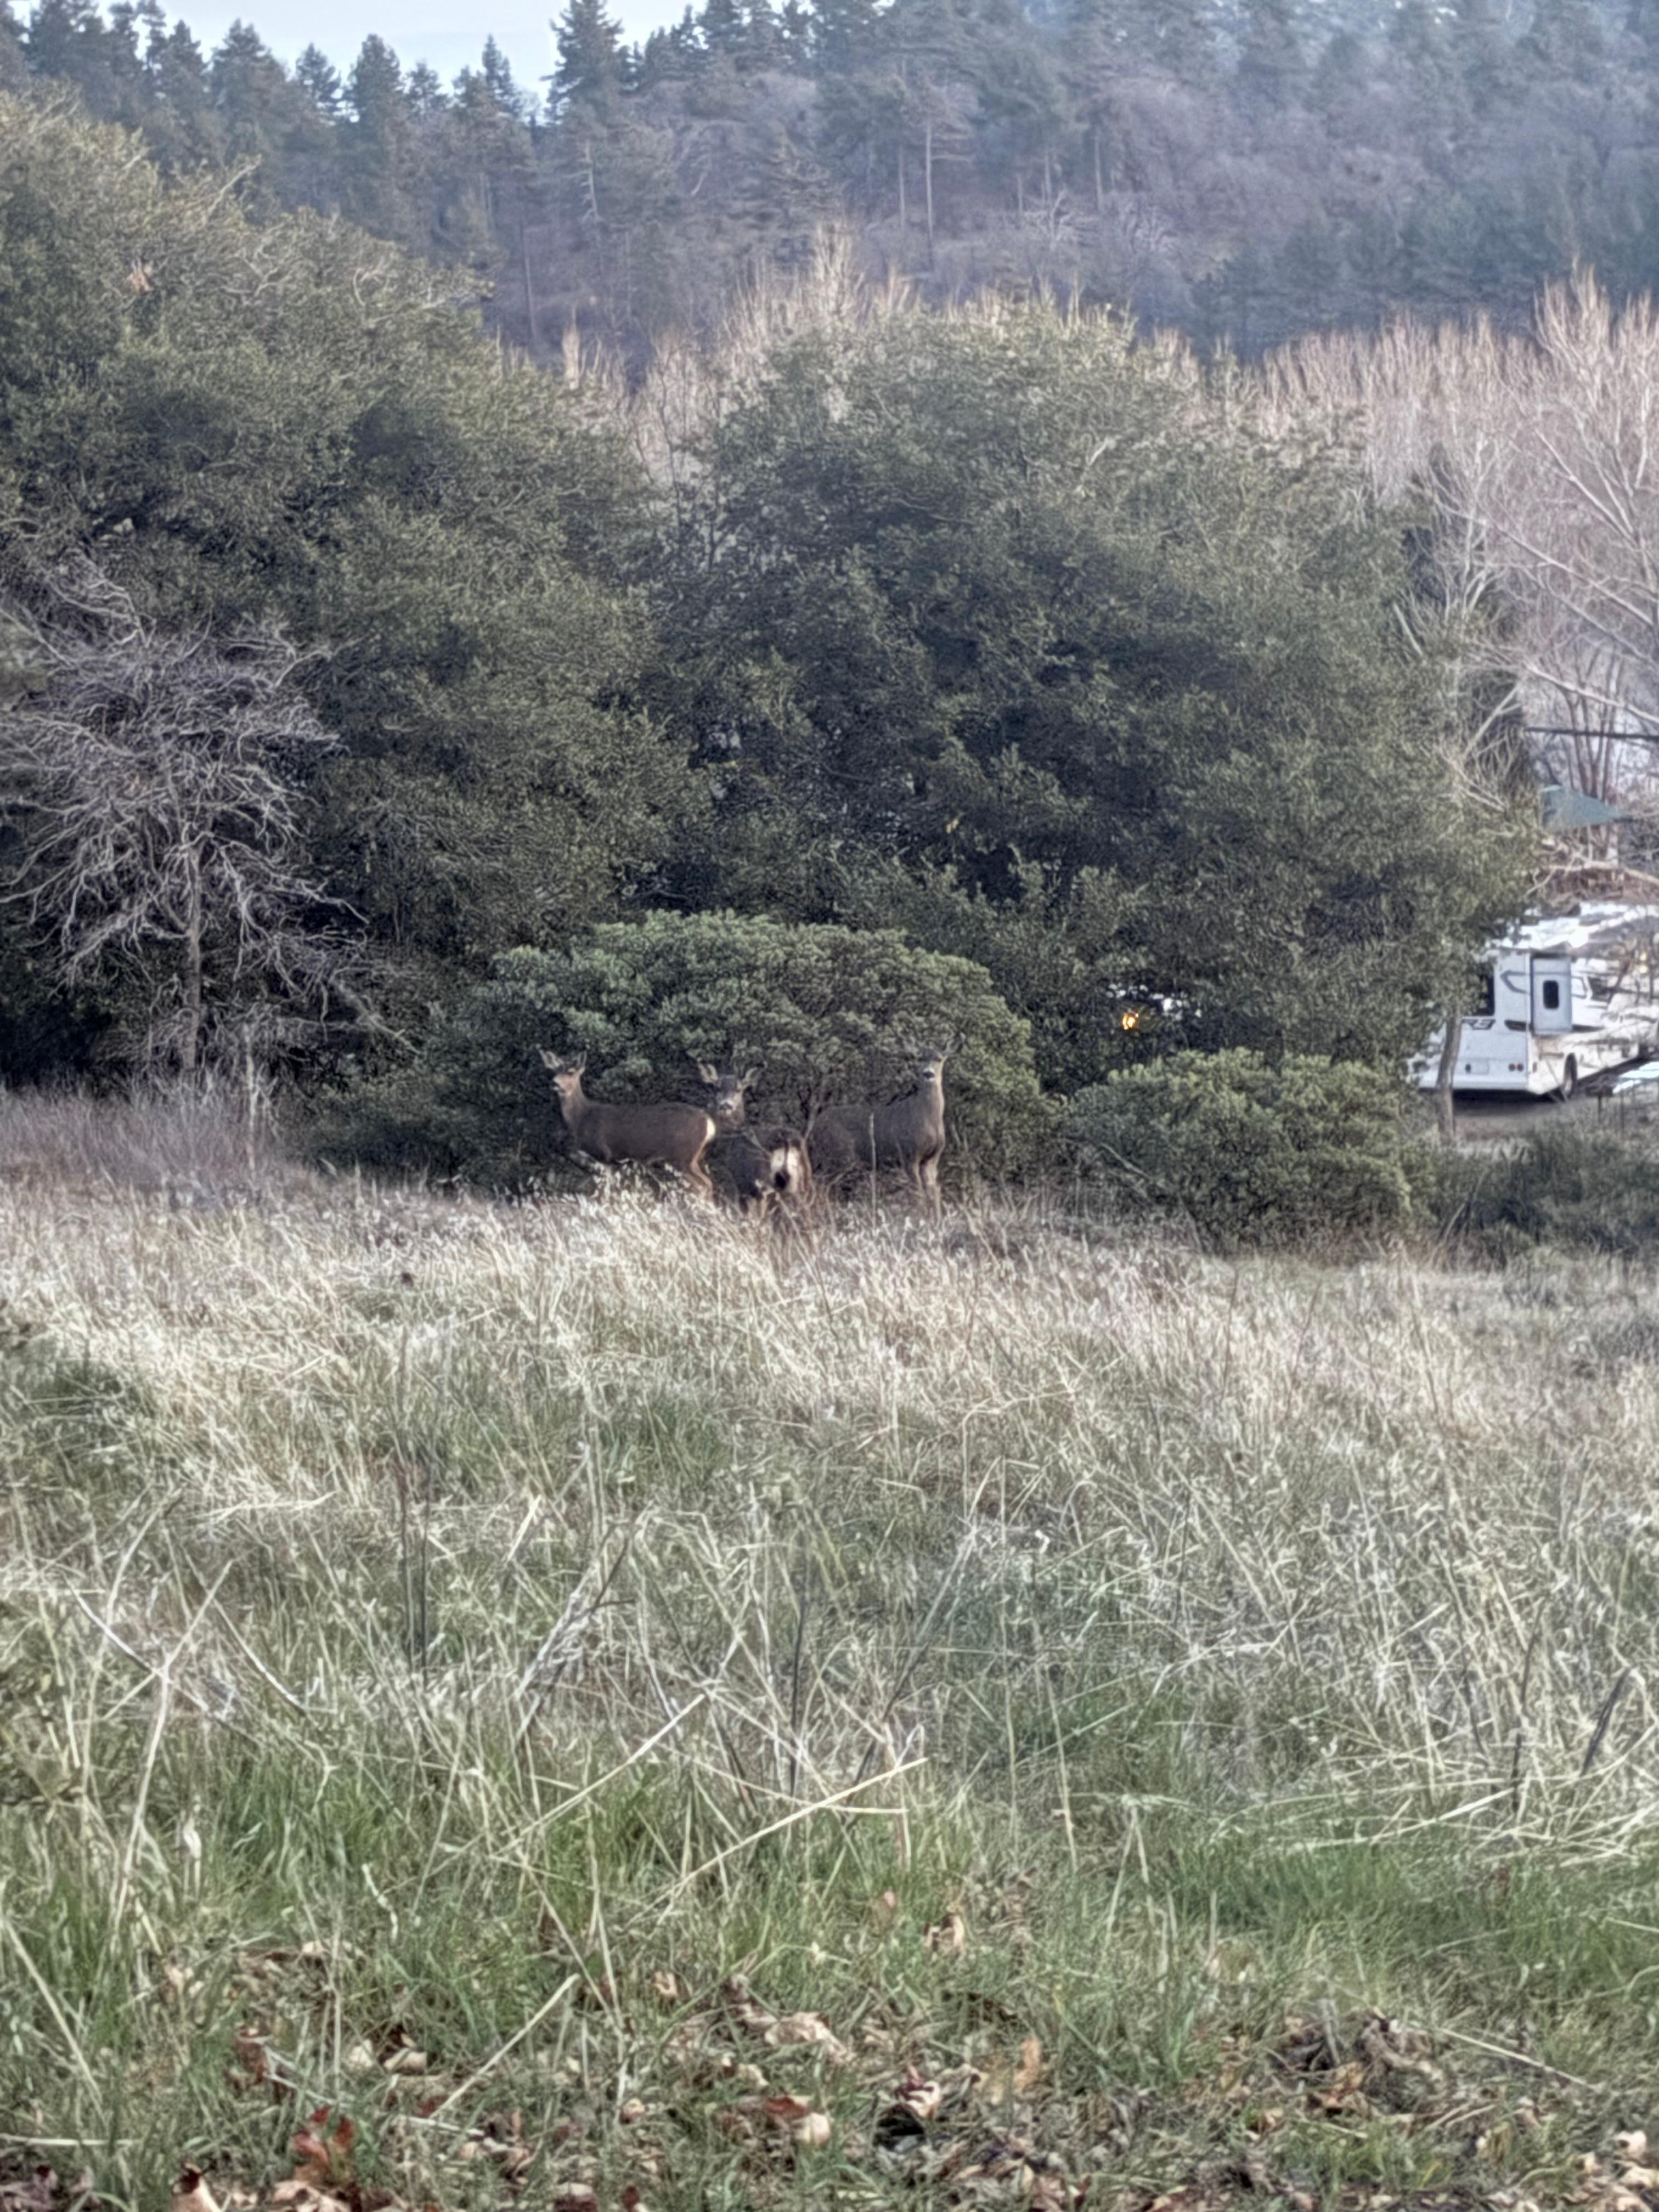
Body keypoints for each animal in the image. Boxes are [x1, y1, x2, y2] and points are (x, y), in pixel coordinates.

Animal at [539, 1051, 718, 1200]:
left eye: (571, 1072)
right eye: (553, 1071)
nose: (554, 1083)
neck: (582, 1118)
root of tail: (708, 1122)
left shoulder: (603, 1155)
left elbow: (604, 1191)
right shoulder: (612, 1161)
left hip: (682, 1157)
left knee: (702, 1185)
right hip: (693, 1158)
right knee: (708, 1183)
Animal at [697, 1062, 811, 1219]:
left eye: (739, 1089)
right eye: (717, 1088)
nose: (726, 1106)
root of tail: (786, 1140)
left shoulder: (732, 1181)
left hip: (761, 1184)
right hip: (803, 1182)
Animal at [807, 1046, 949, 1215]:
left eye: (939, 1059)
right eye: (920, 1059)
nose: (928, 1074)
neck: (928, 1118)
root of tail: (816, 1126)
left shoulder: (932, 1159)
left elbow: (934, 1194)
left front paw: (936, 1220)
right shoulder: (908, 1155)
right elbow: (918, 1194)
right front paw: (920, 1217)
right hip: (839, 1155)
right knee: (820, 1185)